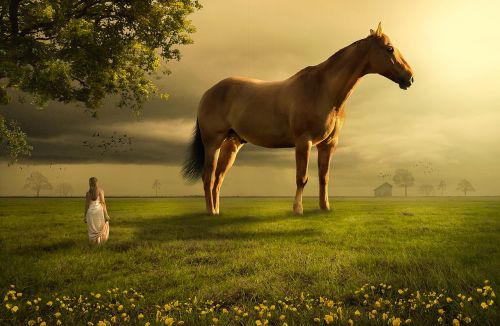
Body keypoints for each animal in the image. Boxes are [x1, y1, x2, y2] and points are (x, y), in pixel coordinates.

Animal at [184, 24, 414, 215]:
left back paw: (216, 211)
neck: (323, 90)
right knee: (208, 176)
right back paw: (210, 212)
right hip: (212, 143)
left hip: (232, 144)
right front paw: (298, 209)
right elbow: (301, 178)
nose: (410, 78)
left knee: (218, 179)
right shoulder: (304, 142)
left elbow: (324, 177)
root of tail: (209, 92)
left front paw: (325, 207)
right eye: (389, 48)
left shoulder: (328, 145)